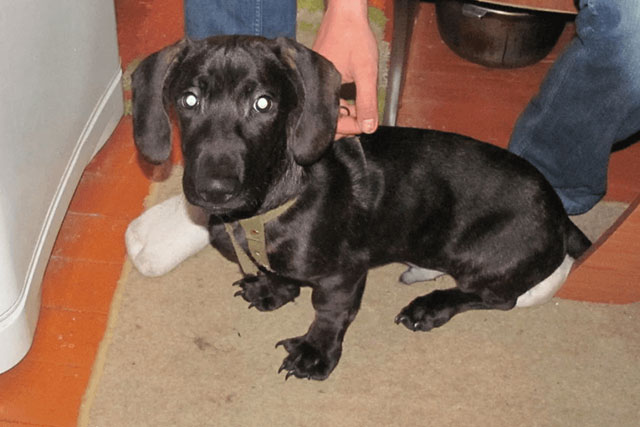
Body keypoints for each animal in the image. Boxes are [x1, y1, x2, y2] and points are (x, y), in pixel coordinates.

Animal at [130, 36, 592, 382]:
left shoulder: (344, 275)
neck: (268, 207)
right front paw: (273, 289)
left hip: (480, 257)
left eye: (264, 104)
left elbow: (329, 315)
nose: (214, 190)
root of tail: (560, 215)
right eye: (188, 100)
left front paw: (314, 355)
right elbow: (280, 273)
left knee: (497, 298)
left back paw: (430, 306)